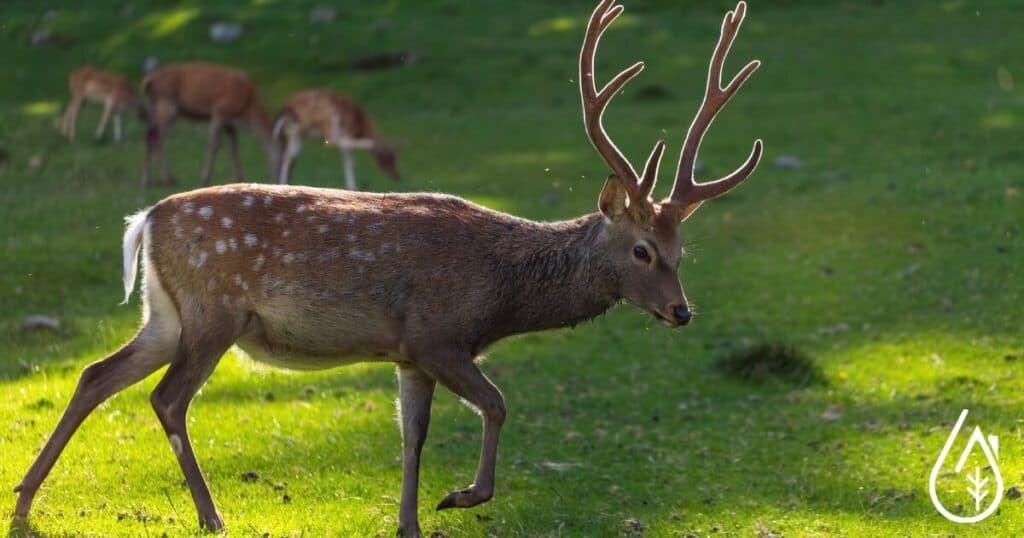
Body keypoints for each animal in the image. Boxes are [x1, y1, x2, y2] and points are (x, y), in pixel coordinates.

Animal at [141, 62, 280, 187]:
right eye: (282, 150)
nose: (279, 178)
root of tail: (148, 82)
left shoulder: (230, 124)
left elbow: (233, 149)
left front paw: (240, 178)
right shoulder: (219, 112)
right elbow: (214, 145)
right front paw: (205, 178)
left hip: (155, 107)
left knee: (149, 135)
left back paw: (148, 180)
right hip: (167, 104)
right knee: (157, 138)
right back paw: (165, 179)